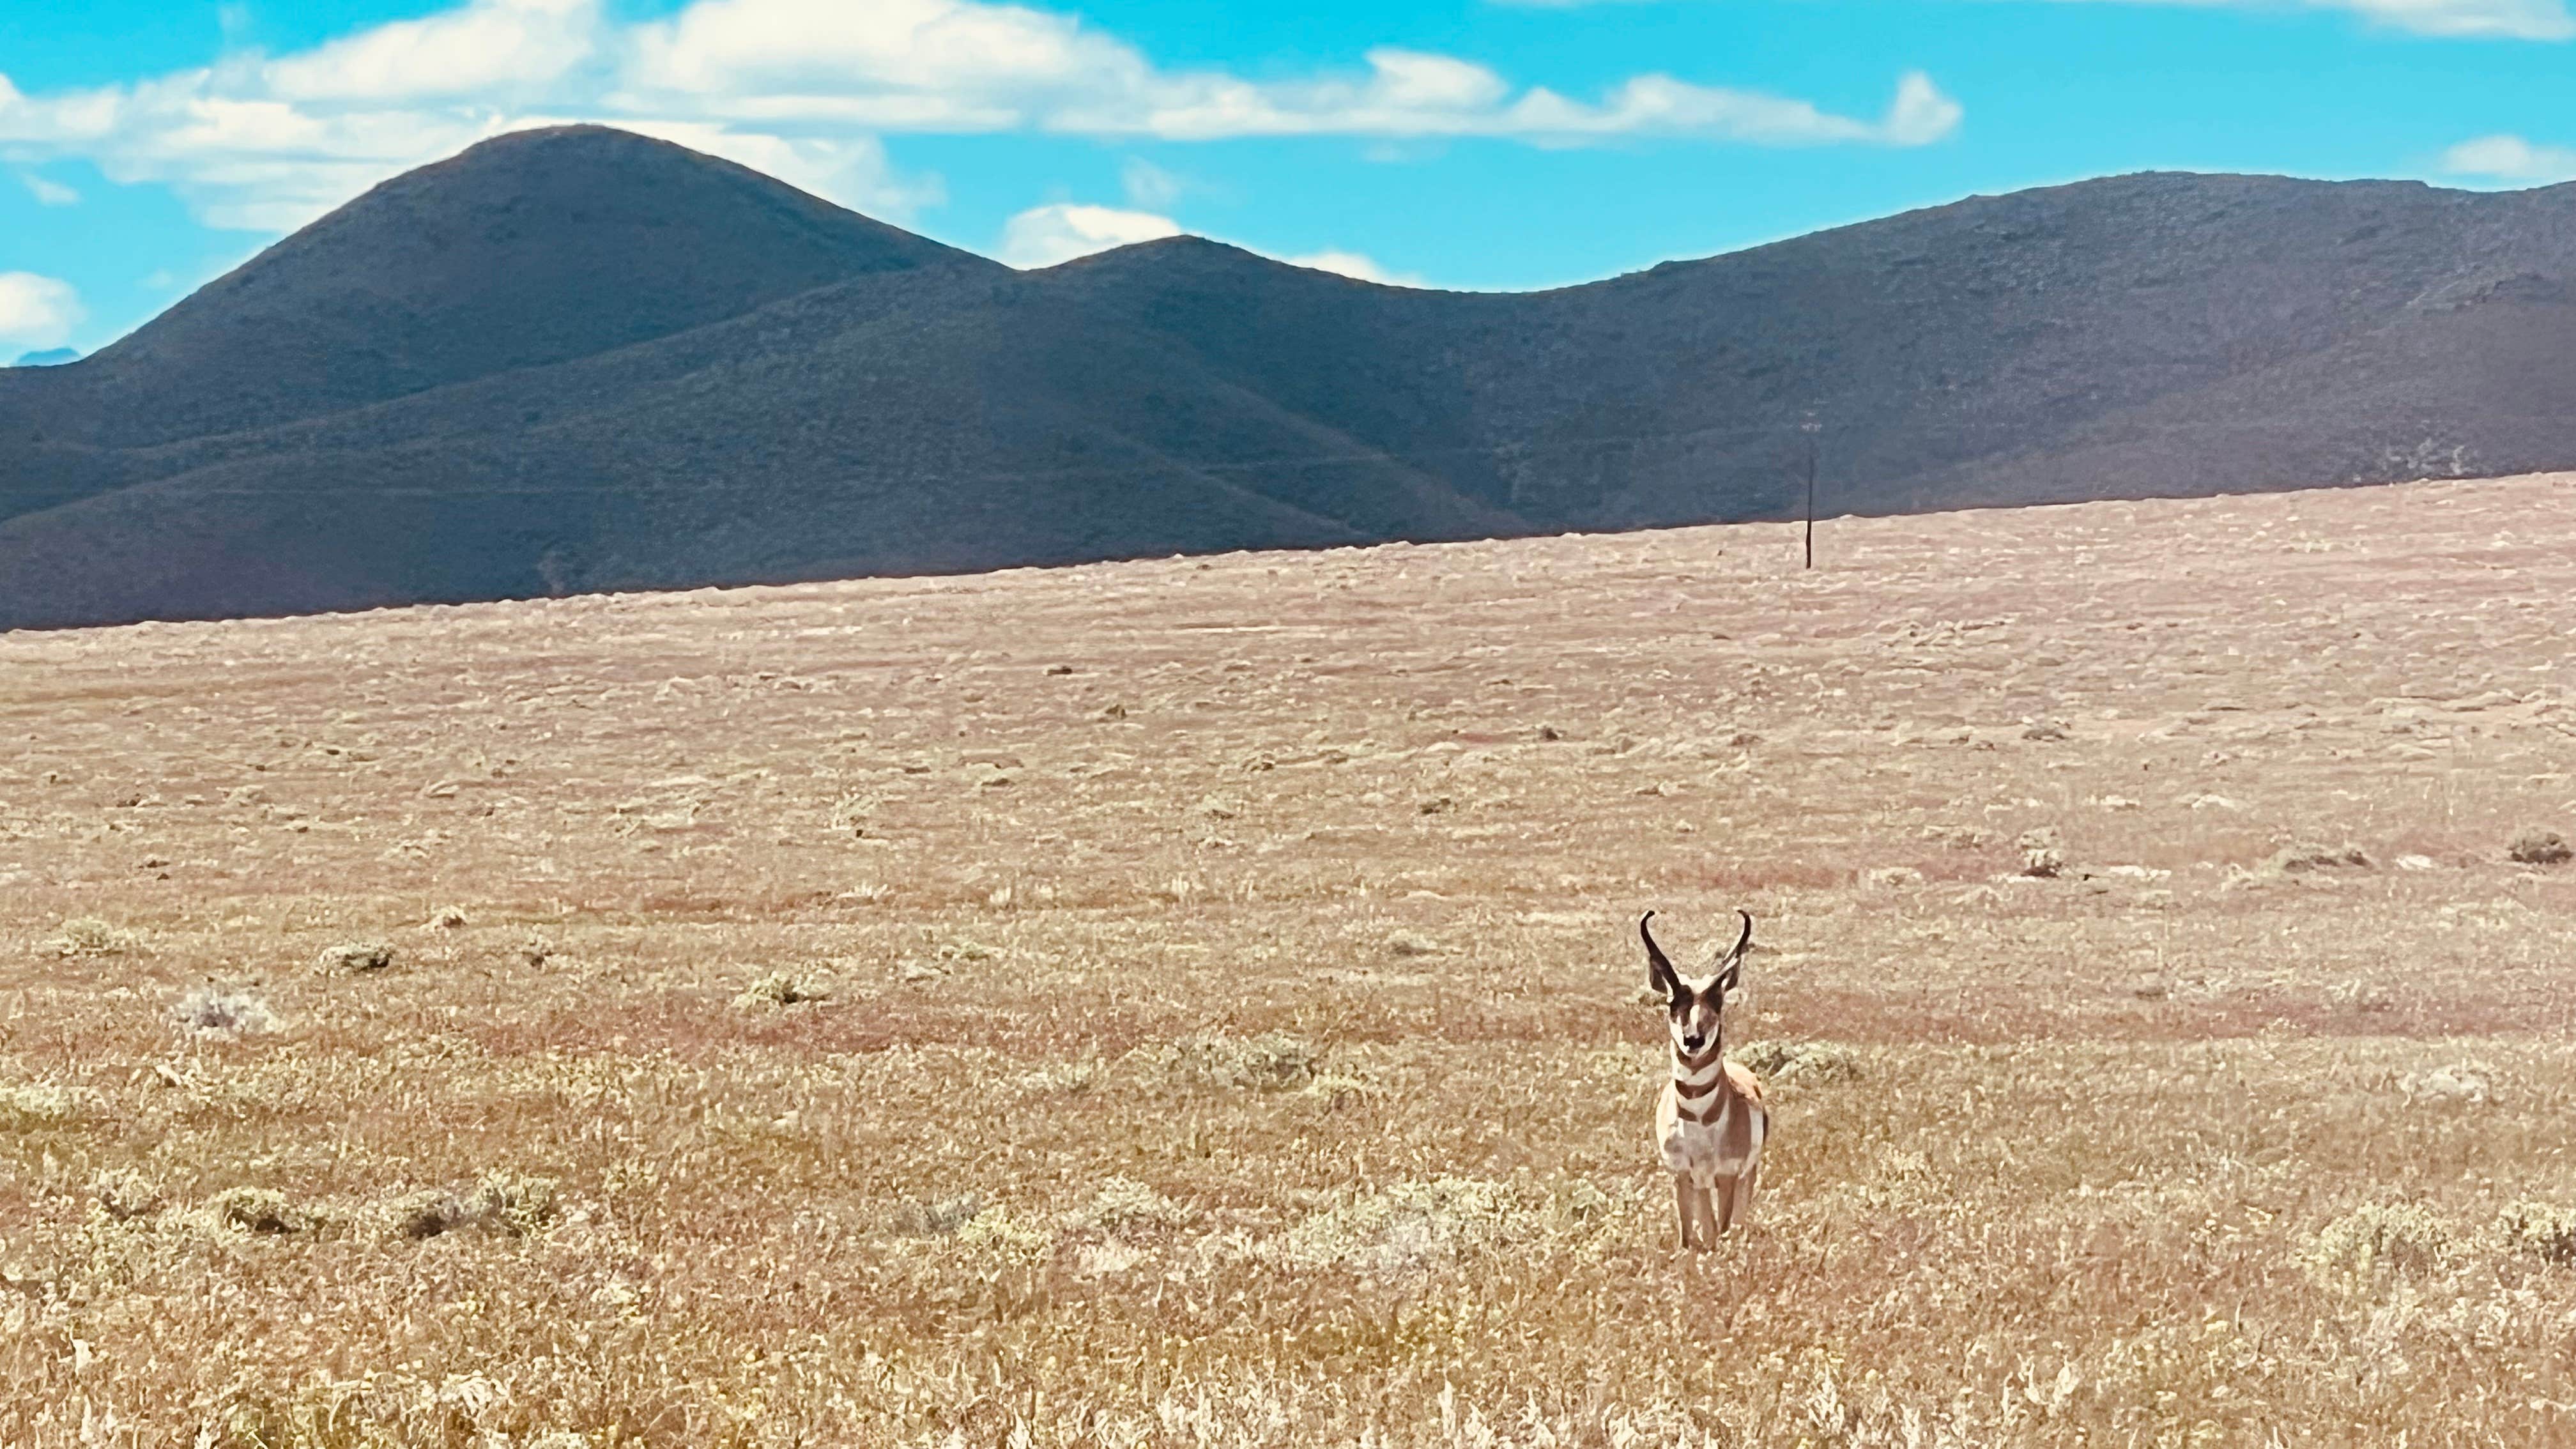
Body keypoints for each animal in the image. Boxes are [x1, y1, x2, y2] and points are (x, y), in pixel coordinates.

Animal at [1638, 907, 1761, 1248]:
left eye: (1717, 1001)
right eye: (1672, 1003)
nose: (1693, 1039)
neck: (1700, 1123)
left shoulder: (1728, 1176)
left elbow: (1722, 1230)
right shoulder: (1682, 1175)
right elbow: (1688, 1237)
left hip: (1746, 1176)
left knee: (1736, 1222)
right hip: (1701, 1184)